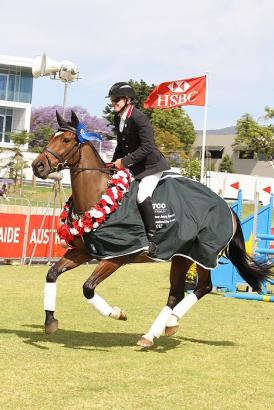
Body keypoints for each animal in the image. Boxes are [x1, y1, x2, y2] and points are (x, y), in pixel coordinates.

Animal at [32, 110, 274, 348]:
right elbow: (52, 274)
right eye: (52, 137)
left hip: (202, 254)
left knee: (201, 287)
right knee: (180, 293)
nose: (37, 166)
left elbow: (88, 287)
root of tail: (226, 207)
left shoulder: (117, 257)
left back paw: (165, 325)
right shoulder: (82, 252)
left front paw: (118, 313)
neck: (98, 196)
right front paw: (50, 321)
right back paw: (157, 331)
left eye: (66, 139)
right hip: (182, 256)